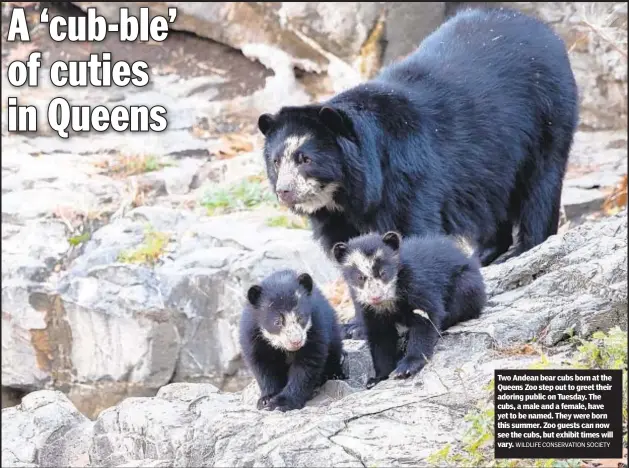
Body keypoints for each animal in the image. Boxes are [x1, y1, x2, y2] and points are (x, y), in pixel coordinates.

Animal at [256, 7, 580, 334]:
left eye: (305, 158)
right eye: (276, 161)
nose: (284, 191)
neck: (348, 193)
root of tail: (542, 29)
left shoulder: (406, 179)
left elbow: (411, 235)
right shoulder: (337, 216)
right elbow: (349, 255)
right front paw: (357, 324)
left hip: (546, 116)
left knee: (540, 183)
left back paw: (524, 248)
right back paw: (485, 254)